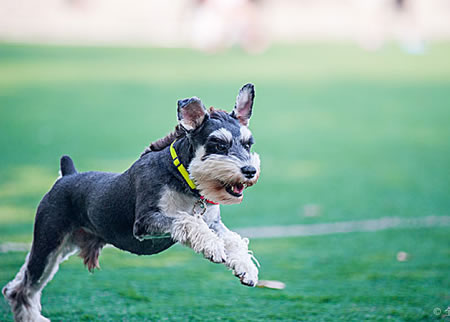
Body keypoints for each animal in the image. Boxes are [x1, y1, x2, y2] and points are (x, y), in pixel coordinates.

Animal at [2, 83, 260, 322]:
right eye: (219, 144)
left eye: (248, 144)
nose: (250, 170)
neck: (184, 179)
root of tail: (66, 175)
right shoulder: (145, 223)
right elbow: (186, 220)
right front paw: (212, 246)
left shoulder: (213, 222)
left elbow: (232, 239)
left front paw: (245, 267)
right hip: (47, 245)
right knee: (21, 288)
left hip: (63, 247)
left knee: (19, 284)